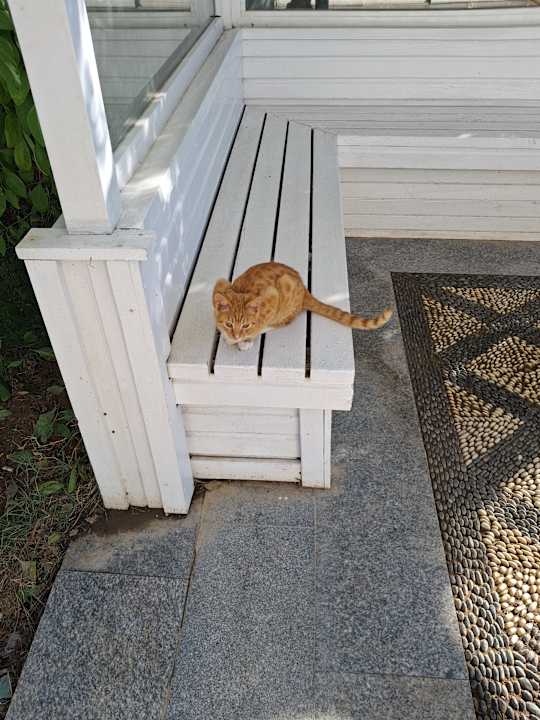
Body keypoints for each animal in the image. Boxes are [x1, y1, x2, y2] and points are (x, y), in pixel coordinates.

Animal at [213, 262, 392, 351]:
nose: (236, 336)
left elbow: (261, 326)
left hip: (286, 287)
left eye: (246, 325)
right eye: (228, 324)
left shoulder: (272, 297)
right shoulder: (220, 283)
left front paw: (245, 340)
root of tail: (304, 288)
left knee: (287, 319)